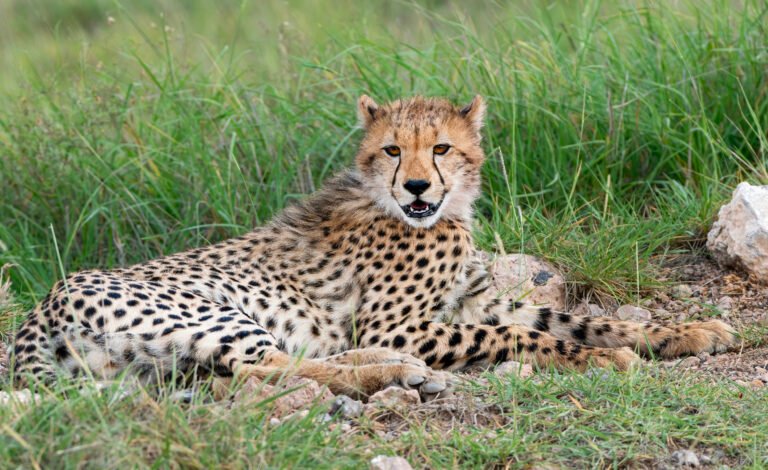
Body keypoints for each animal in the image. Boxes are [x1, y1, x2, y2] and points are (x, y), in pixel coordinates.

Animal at [9, 95, 736, 400]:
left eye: (439, 148)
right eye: (391, 150)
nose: (416, 184)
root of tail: (42, 305)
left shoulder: (465, 306)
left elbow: (573, 317)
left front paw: (688, 333)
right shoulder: (407, 323)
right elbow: (523, 336)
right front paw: (602, 360)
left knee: (270, 366)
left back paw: (388, 368)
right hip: (213, 311)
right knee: (268, 369)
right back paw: (391, 373)